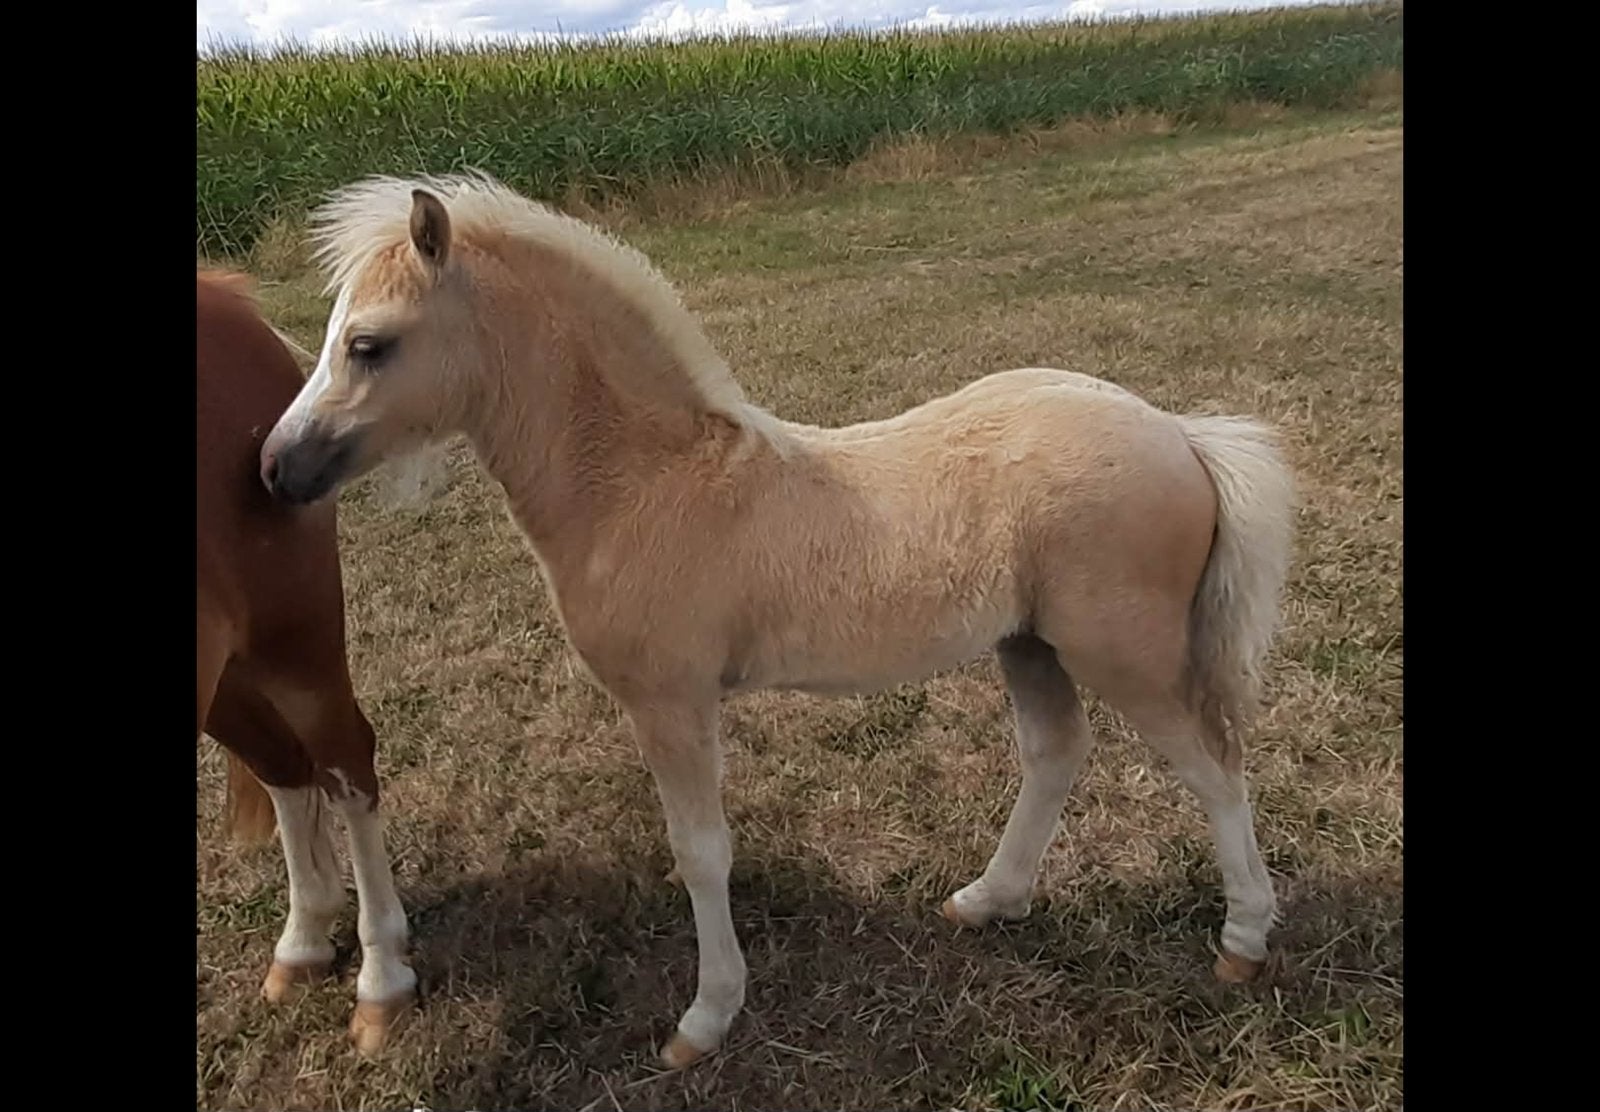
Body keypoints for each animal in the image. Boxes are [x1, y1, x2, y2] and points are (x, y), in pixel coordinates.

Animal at [197, 268, 416, 1054]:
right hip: (226, 679)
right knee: (284, 766)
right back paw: (304, 943)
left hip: (296, 633)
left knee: (343, 762)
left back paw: (381, 979)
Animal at [258, 173, 1295, 1069]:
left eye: (369, 344)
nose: (275, 467)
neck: (644, 486)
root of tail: (1180, 433)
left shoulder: (673, 704)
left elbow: (701, 853)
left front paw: (706, 1019)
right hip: (1028, 643)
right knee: (1056, 752)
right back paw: (986, 900)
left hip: (1121, 649)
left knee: (1214, 765)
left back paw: (1242, 941)